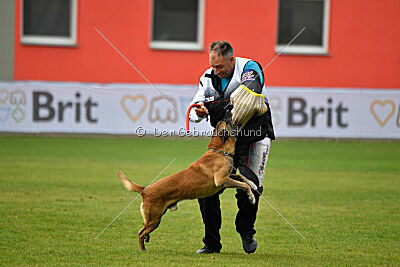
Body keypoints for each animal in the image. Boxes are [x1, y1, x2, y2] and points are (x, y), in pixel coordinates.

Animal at [117, 114, 258, 252]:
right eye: (228, 122)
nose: (227, 113)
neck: (218, 151)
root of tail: (145, 189)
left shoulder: (228, 176)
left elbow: (241, 176)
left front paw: (253, 184)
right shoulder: (221, 180)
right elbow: (243, 184)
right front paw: (251, 197)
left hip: (155, 218)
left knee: (143, 228)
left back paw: (146, 239)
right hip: (154, 219)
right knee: (140, 232)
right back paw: (143, 249)